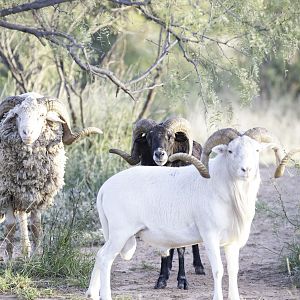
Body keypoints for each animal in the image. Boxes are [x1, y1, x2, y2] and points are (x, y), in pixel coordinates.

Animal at [0, 92, 102, 258]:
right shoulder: (7, 194)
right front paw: (8, 259)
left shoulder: (38, 196)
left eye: (41, 115)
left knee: (22, 216)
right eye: (17, 115)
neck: (28, 171)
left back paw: (26, 250)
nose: (27, 133)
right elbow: (10, 228)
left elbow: (36, 227)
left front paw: (35, 257)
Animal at [85, 127, 282, 300]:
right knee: (105, 258)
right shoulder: (210, 237)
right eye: (231, 151)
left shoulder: (231, 243)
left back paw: (91, 294)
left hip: (116, 236)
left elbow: (233, 271)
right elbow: (218, 270)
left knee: (99, 255)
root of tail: (104, 188)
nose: (246, 170)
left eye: (256, 150)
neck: (227, 192)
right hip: (120, 234)